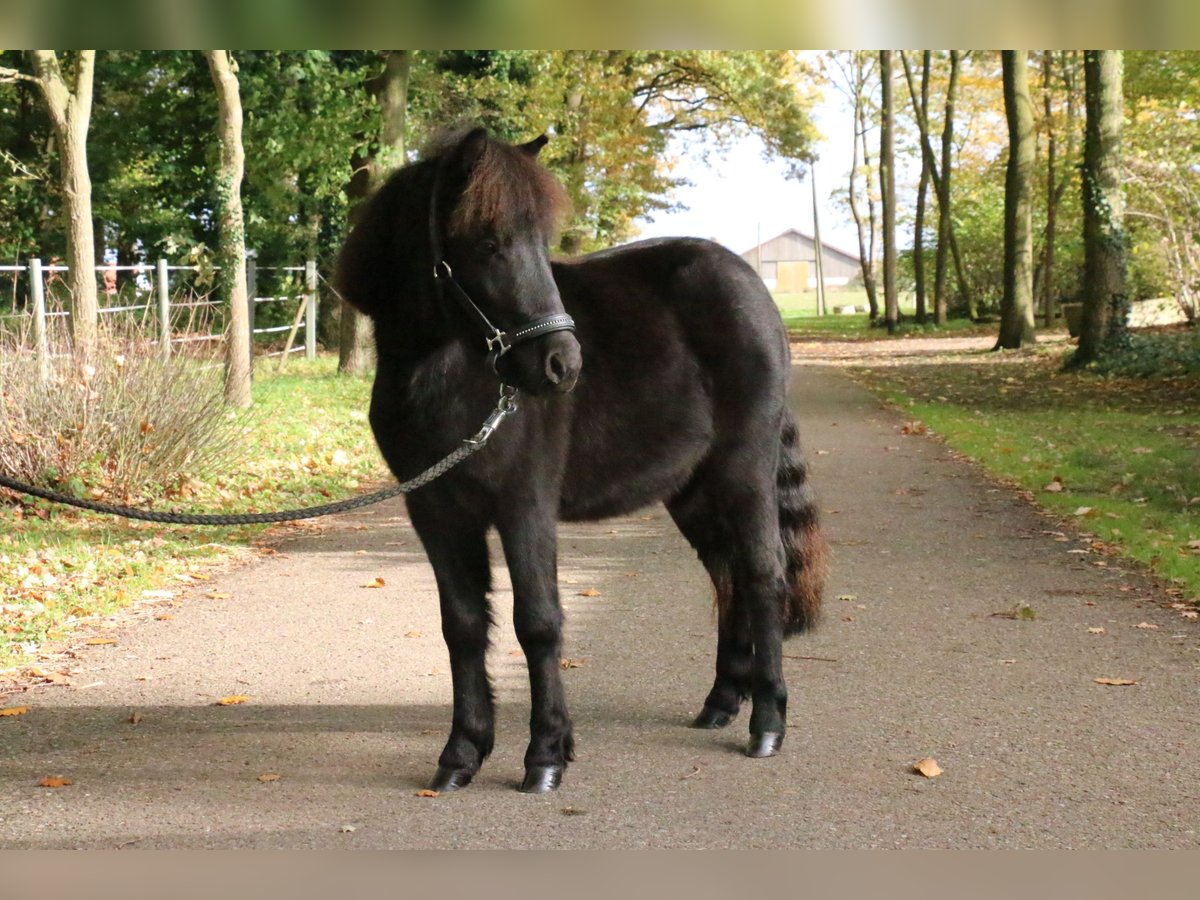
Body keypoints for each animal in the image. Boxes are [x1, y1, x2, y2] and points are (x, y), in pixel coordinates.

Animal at [334, 126, 827, 794]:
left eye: (542, 245)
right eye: (488, 243)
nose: (563, 366)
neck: (449, 377)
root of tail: (751, 287)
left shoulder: (524, 504)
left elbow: (538, 621)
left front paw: (546, 755)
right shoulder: (434, 511)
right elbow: (462, 625)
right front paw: (462, 754)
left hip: (743, 469)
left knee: (760, 573)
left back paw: (768, 722)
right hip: (691, 488)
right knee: (725, 574)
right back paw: (723, 701)